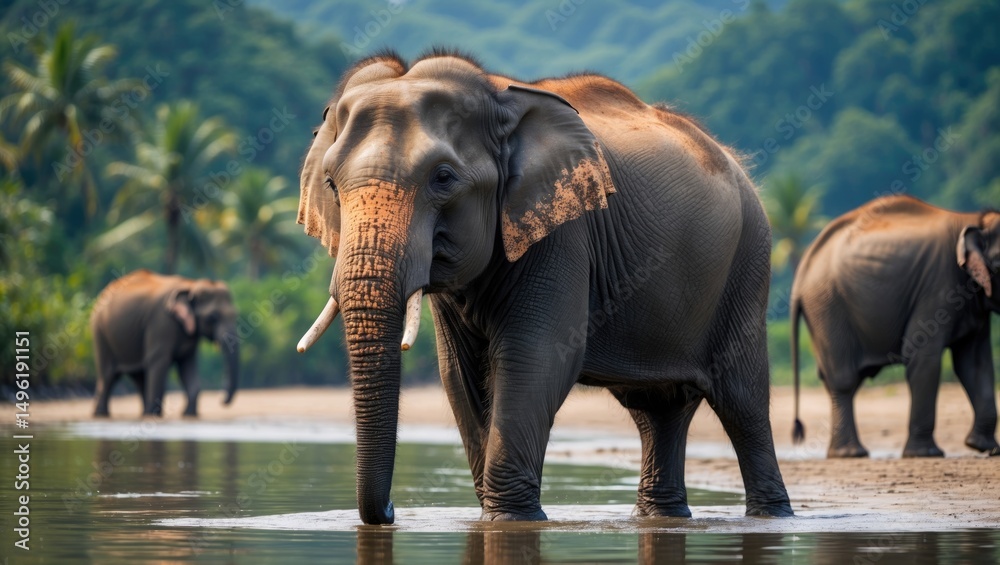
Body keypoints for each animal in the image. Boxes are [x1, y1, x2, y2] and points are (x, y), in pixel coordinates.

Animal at [90, 269, 239, 417]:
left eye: (235, 315)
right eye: (213, 317)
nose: (221, 400)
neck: (190, 285)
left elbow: (186, 367)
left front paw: (189, 415)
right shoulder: (161, 321)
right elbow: (159, 361)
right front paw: (155, 415)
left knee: (138, 376)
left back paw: (142, 413)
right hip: (100, 332)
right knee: (108, 375)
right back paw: (102, 414)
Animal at [295, 51, 792, 524]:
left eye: (443, 178)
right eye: (331, 184)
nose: (394, 511)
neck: (500, 100)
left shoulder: (564, 232)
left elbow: (534, 357)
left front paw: (509, 520)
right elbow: (460, 374)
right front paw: (494, 515)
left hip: (748, 261)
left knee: (742, 400)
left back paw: (772, 516)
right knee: (658, 409)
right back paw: (662, 517)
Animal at [790, 195, 1000, 458]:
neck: (977, 222)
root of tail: (802, 269)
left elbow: (974, 364)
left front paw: (986, 448)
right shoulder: (938, 287)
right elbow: (923, 358)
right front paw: (925, 454)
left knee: (836, 377)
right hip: (826, 304)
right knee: (843, 378)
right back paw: (851, 454)